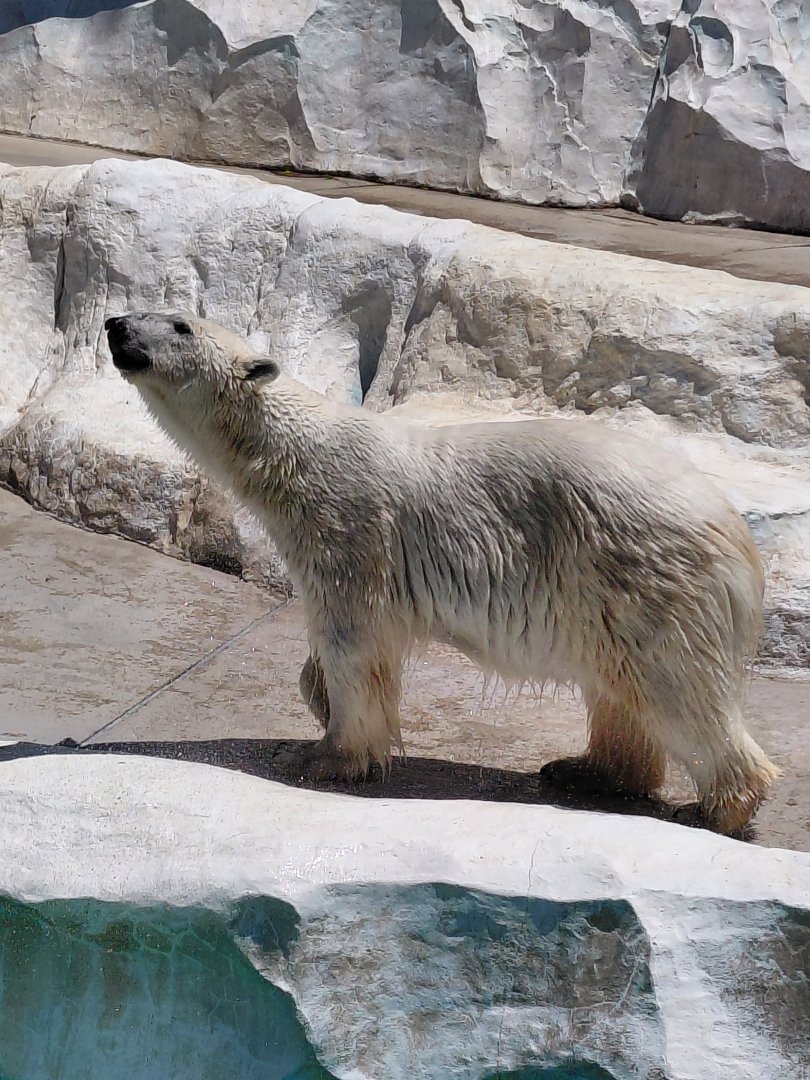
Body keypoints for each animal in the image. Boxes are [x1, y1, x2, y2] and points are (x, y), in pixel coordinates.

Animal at [105, 310, 779, 834]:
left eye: (180, 325)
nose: (114, 324)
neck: (298, 452)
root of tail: (737, 532)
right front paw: (320, 708)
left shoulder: (350, 531)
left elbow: (352, 643)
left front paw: (328, 757)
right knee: (620, 688)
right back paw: (585, 770)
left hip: (648, 575)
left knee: (678, 684)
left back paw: (715, 808)